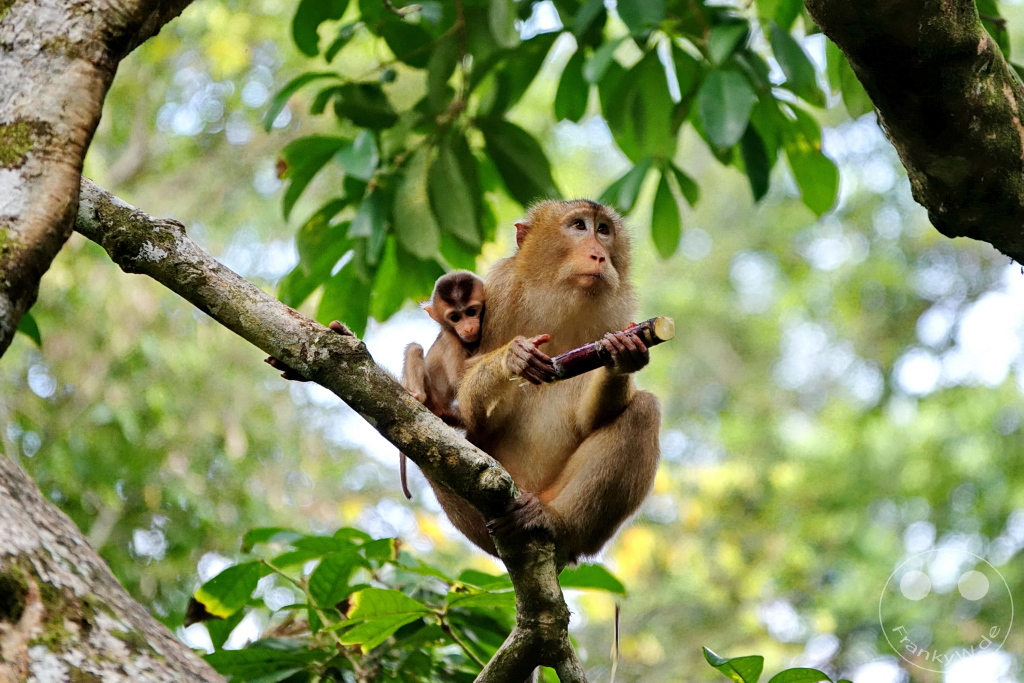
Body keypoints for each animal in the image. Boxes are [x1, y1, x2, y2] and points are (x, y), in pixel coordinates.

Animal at [398, 270, 485, 498]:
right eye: (455, 317)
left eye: (471, 312)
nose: (468, 327)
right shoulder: (451, 342)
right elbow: (458, 377)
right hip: (432, 396)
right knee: (415, 348)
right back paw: (416, 395)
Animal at [427, 199, 661, 565]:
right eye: (579, 226)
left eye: (603, 230)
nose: (599, 255)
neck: (557, 295)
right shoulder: (497, 294)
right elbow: (473, 414)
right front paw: (514, 356)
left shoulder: (617, 315)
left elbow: (591, 416)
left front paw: (623, 356)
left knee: (643, 410)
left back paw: (556, 524)